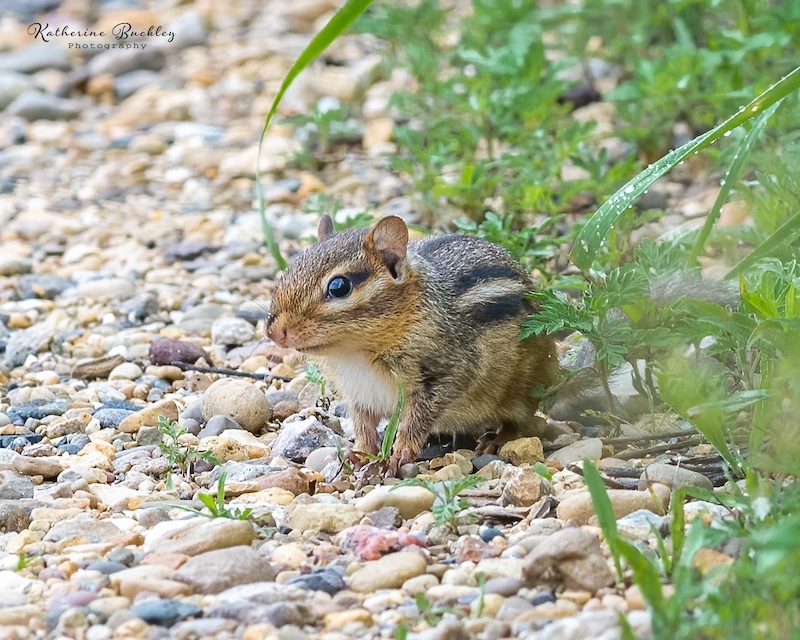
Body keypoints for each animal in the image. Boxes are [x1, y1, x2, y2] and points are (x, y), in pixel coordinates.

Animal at [266, 215, 559, 474]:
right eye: (291, 269)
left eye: (339, 287)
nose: (274, 332)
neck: (354, 354)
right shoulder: (359, 393)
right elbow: (363, 426)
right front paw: (359, 453)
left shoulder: (444, 376)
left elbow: (415, 422)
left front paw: (400, 453)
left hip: (520, 394)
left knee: (525, 423)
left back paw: (497, 440)